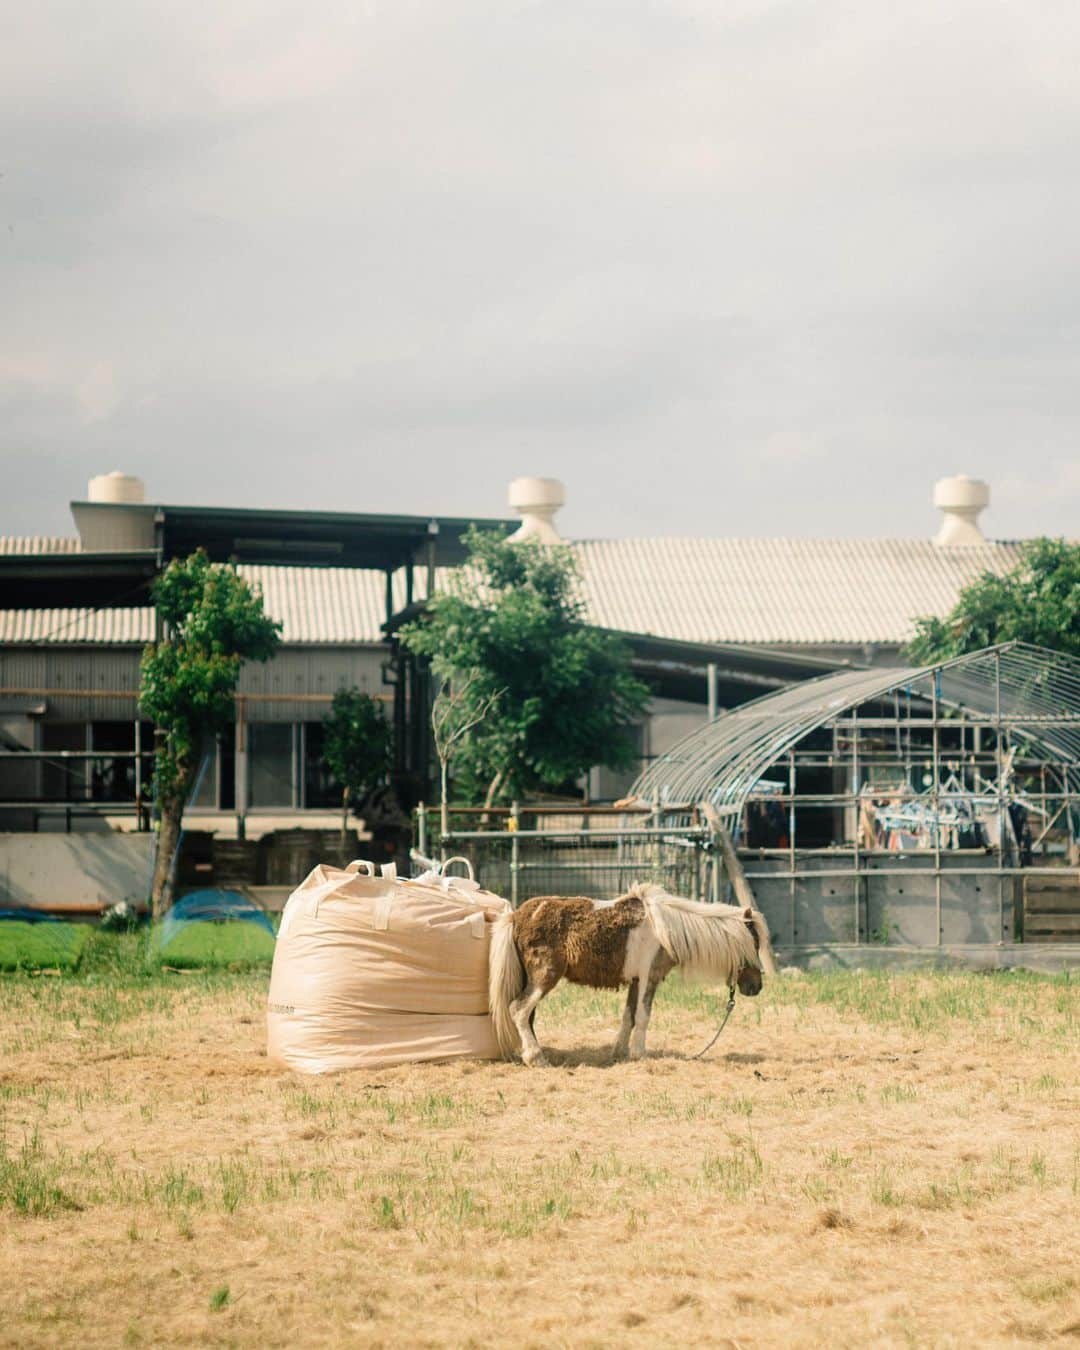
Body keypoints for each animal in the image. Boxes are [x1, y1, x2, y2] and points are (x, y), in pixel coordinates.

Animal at [488, 880, 777, 1069]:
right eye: (754, 943)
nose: (756, 987)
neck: (666, 929)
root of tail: (518, 916)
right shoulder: (649, 977)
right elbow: (643, 1016)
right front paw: (640, 1053)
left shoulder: (636, 981)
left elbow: (628, 1016)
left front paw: (620, 1052)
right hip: (544, 978)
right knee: (519, 1010)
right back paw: (537, 1058)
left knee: (527, 1016)